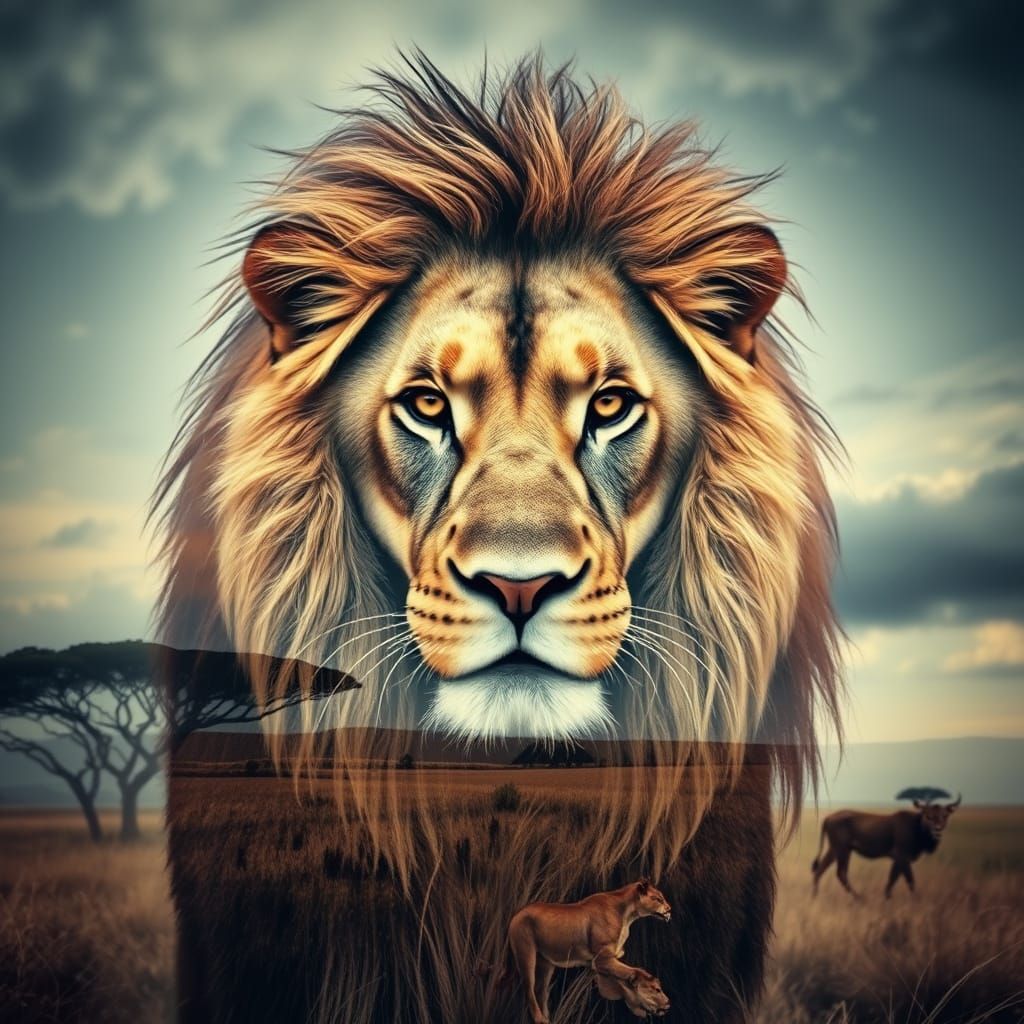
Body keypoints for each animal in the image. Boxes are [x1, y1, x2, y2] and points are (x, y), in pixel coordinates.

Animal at [503, 879, 670, 1023]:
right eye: (658, 899)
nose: (669, 909)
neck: (627, 914)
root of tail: (517, 914)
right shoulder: (602, 959)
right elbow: (633, 971)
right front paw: (652, 997)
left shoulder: (601, 963)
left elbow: (622, 979)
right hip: (526, 955)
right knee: (529, 989)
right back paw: (540, 1019)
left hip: (546, 964)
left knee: (541, 991)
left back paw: (548, 1018)